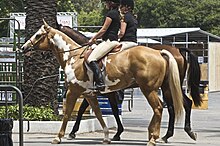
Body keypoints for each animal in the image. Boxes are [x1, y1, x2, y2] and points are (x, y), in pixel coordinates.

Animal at [21, 20, 184, 146]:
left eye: (38, 35)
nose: (23, 47)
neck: (73, 56)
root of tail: (159, 52)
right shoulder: (89, 94)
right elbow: (98, 114)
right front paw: (107, 137)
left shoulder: (73, 91)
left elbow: (67, 114)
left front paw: (58, 137)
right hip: (159, 88)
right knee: (164, 107)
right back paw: (154, 134)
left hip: (148, 89)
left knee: (159, 108)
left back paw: (154, 138)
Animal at [58, 24, 201, 143]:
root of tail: (177, 50)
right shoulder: (104, 91)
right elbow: (112, 110)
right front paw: (117, 133)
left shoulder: (98, 91)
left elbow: (86, 109)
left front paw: (72, 132)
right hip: (169, 86)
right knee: (184, 104)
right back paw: (178, 133)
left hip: (167, 88)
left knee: (173, 107)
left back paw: (167, 135)